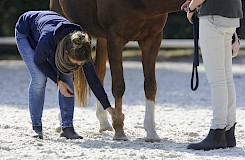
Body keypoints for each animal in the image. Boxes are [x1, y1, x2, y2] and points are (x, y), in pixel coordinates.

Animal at [51, 0, 186, 142]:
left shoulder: (152, 39)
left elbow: (150, 86)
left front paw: (151, 132)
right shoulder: (115, 38)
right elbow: (118, 86)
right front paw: (119, 130)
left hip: (102, 38)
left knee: (99, 73)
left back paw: (103, 121)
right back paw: (61, 123)